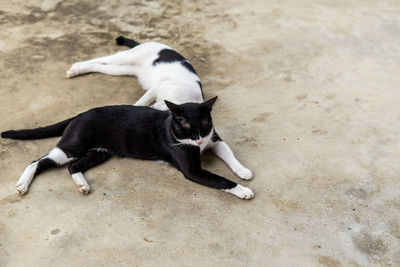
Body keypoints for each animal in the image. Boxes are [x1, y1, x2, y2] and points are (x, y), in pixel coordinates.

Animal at [1, 99, 255, 200]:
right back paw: (22, 184)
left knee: (73, 166)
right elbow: (220, 180)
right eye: (187, 132)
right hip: (73, 145)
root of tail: (78, 115)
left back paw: (83, 185)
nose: (199, 143)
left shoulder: (214, 140)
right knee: (39, 160)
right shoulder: (191, 169)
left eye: (203, 128)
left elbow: (229, 153)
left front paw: (243, 171)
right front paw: (243, 190)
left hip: (100, 152)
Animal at [67, 36, 252, 182]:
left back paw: (78, 70)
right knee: (102, 58)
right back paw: (76, 67)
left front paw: (242, 170)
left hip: (121, 70)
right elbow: (139, 103)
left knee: (101, 66)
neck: (185, 98)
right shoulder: (155, 90)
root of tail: (153, 43)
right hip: (126, 58)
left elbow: (229, 154)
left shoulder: (215, 140)